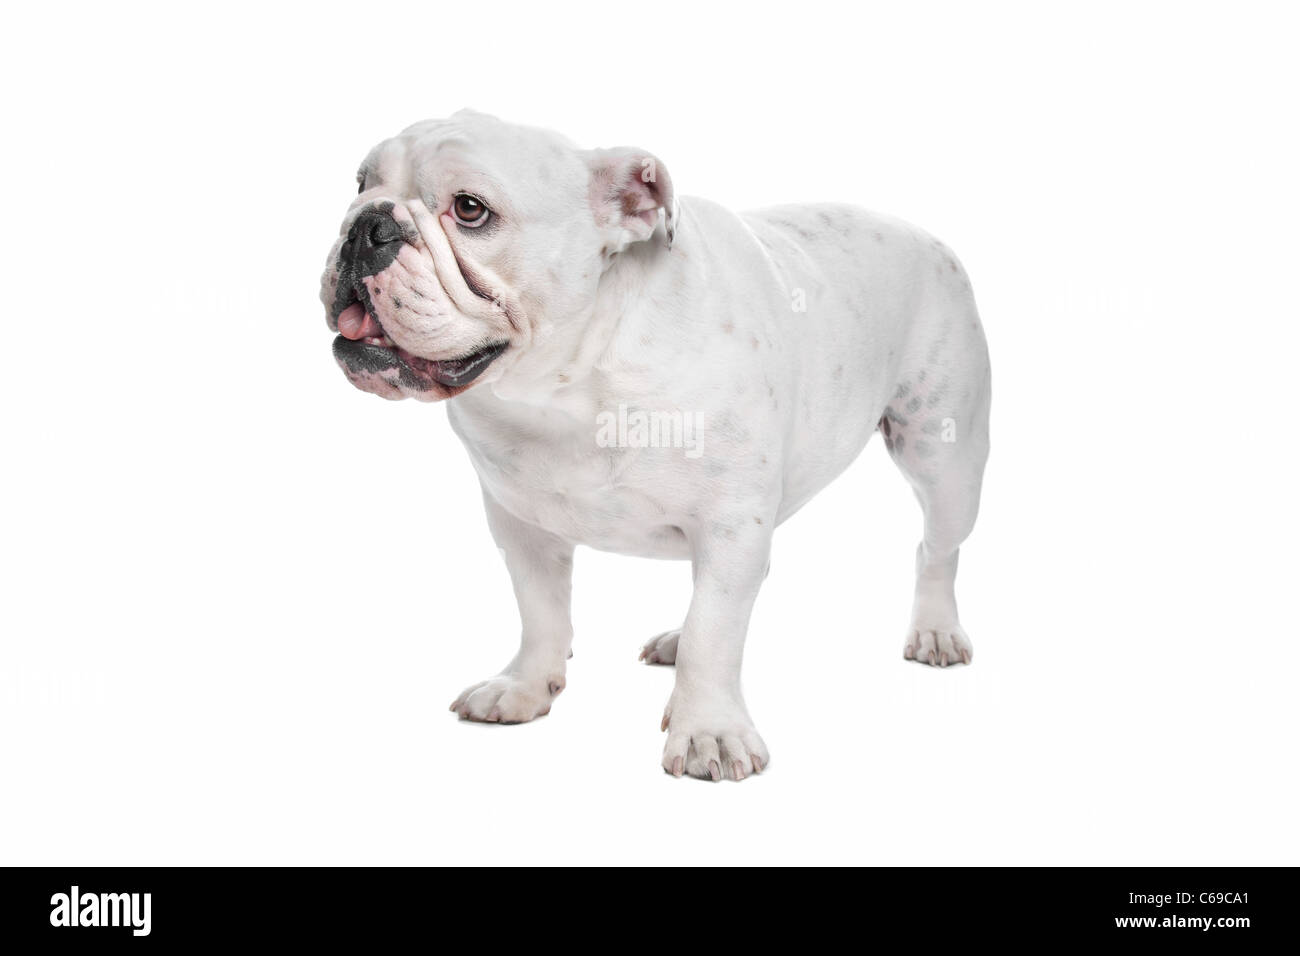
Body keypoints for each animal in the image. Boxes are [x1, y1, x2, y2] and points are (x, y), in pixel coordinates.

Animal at [319, 113, 987, 785]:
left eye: (470, 209)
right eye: (360, 183)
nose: (367, 225)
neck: (566, 384)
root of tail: (925, 234)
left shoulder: (731, 526)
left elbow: (714, 631)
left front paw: (710, 730)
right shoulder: (519, 523)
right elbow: (540, 611)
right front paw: (525, 686)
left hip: (945, 461)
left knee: (936, 548)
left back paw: (935, 631)